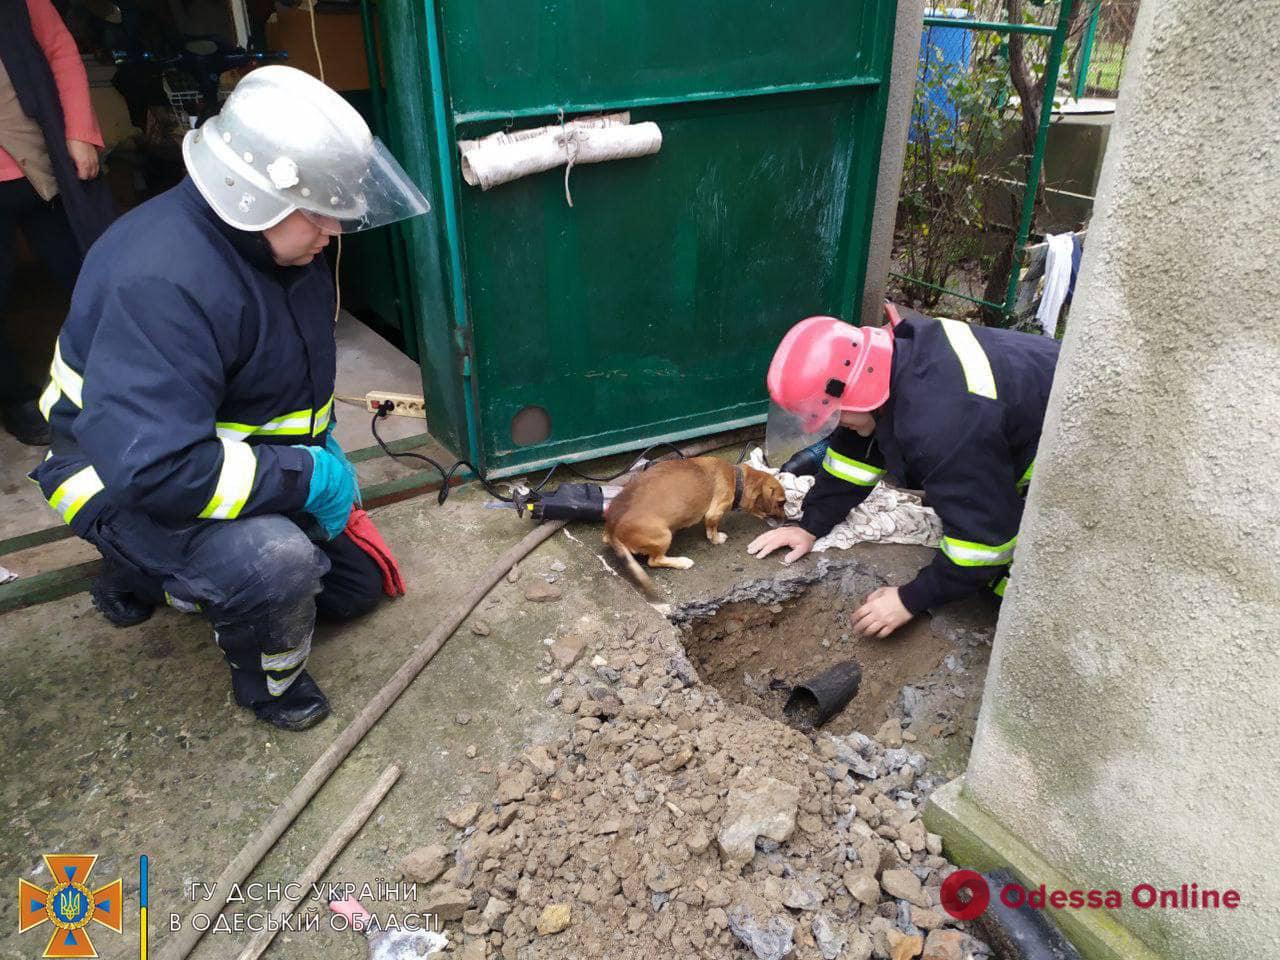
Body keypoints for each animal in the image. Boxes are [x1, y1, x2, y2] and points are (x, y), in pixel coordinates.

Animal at [601, 455, 788, 599]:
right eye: (781, 503)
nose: (787, 521)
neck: (736, 478)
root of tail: (612, 530)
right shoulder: (714, 513)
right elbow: (712, 528)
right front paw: (717, 538)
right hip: (664, 535)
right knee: (654, 561)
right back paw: (682, 562)